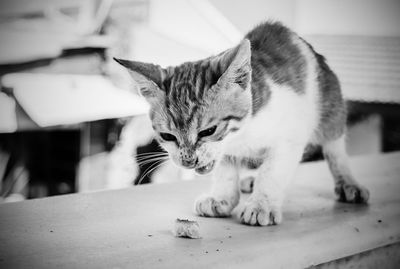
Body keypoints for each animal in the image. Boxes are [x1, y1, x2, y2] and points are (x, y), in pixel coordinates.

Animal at [114, 22, 370, 225]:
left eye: (208, 131)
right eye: (168, 136)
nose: (188, 161)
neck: (243, 135)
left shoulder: (291, 136)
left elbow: (272, 170)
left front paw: (261, 204)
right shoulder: (224, 151)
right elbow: (225, 169)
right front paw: (222, 198)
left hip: (329, 105)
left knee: (334, 147)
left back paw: (348, 183)